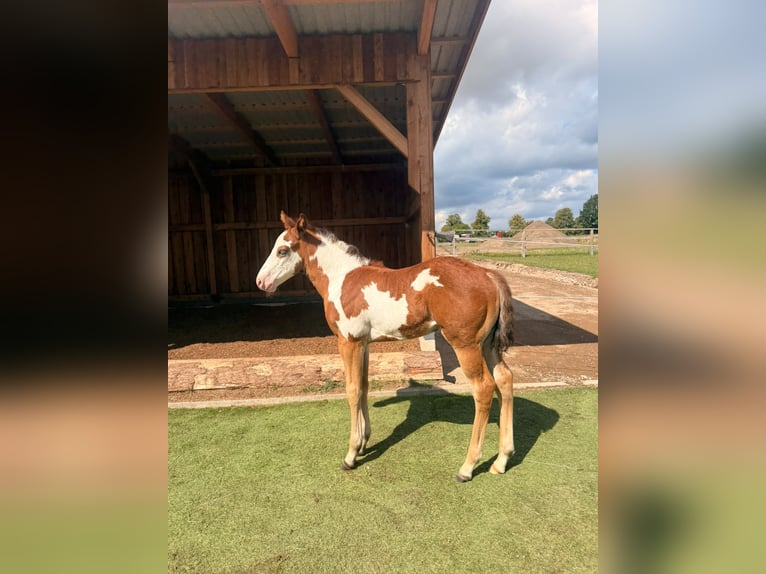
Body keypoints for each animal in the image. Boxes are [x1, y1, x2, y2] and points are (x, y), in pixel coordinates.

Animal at [256, 212, 515, 482]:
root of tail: (488, 275)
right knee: (504, 380)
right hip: (488, 346)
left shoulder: (348, 342)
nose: (261, 282)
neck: (342, 279)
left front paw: (351, 455)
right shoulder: (364, 344)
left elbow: (352, 390)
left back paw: (467, 468)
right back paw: (501, 460)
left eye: (283, 250)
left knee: (484, 388)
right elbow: (364, 387)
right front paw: (363, 443)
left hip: (465, 345)